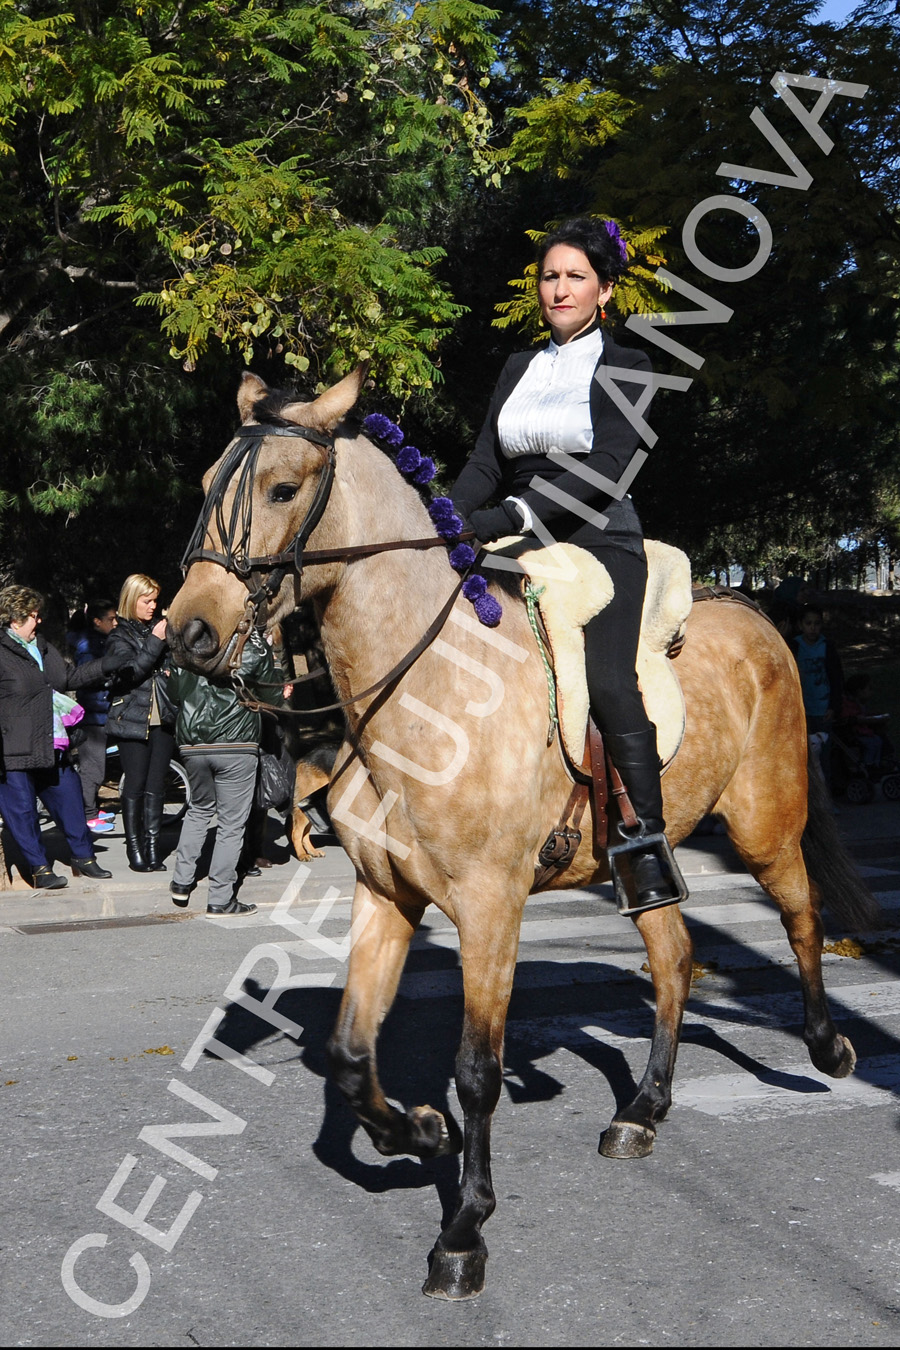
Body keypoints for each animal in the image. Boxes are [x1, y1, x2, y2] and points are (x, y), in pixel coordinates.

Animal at [165, 367, 885, 1296]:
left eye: (284, 489)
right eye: (205, 484)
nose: (186, 631)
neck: (422, 689)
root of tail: (752, 611)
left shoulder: (488, 907)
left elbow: (478, 1071)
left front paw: (463, 1231)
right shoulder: (385, 896)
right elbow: (352, 1055)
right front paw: (417, 1132)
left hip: (766, 825)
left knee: (801, 919)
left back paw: (829, 1050)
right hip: (645, 858)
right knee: (675, 956)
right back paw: (643, 1110)